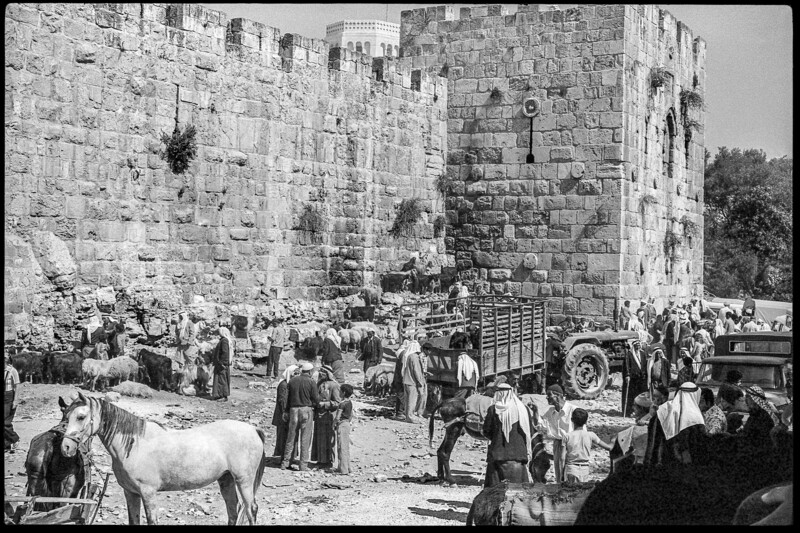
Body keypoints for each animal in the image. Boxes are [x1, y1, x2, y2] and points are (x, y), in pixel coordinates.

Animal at [60, 390, 266, 524]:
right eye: (65, 416)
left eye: (81, 417)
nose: (66, 447)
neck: (135, 445)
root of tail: (252, 429)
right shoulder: (131, 493)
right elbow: (134, 520)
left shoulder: (148, 493)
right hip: (226, 480)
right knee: (233, 511)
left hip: (244, 480)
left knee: (251, 510)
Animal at [424, 384, 552, 484]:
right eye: (541, 465)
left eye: (548, 466)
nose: (542, 482)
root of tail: (444, 402)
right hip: (454, 429)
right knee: (445, 453)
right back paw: (450, 480)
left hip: (450, 430)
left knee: (440, 451)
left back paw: (441, 477)